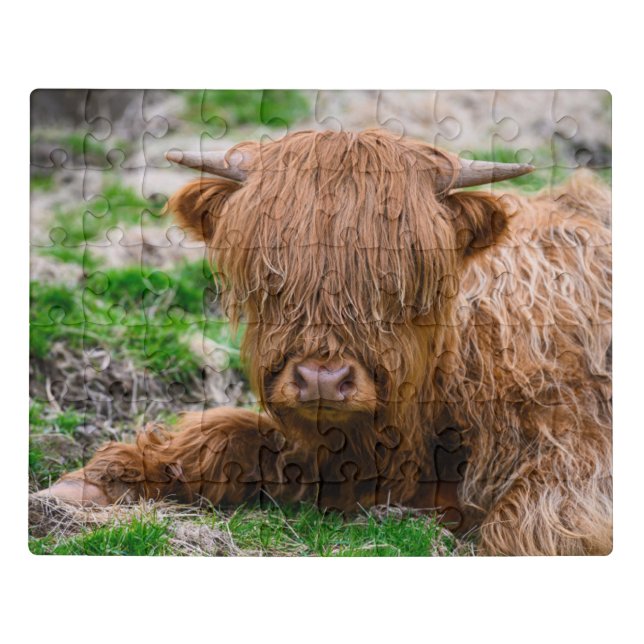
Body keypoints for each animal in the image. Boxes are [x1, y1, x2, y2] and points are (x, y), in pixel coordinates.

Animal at [36, 129, 612, 555]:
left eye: (399, 281)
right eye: (271, 277)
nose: (322, 380)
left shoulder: (575, 461)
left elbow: (523, 530)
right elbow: (225, 436)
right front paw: (87, 486)